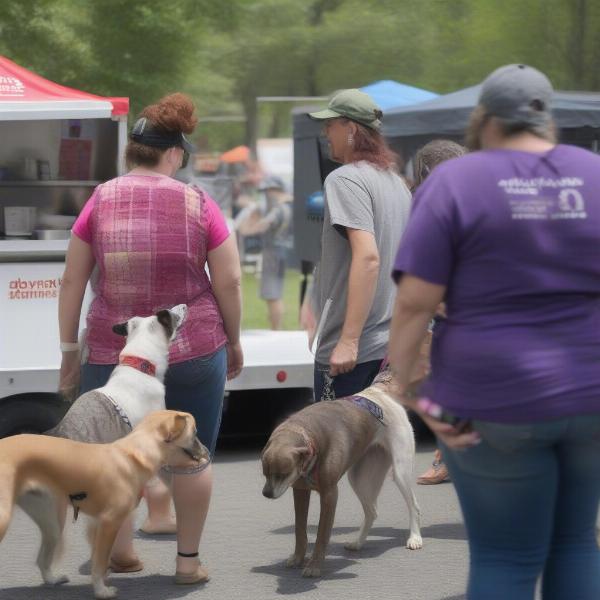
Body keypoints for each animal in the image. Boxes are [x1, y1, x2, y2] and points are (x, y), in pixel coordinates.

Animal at [0, 410, 207, 600]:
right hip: (5, 518)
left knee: (43, 558)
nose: (207, 452)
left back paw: (52, 579)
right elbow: (99, 563)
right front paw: (101, 591)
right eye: (195, 432)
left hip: (51, 523)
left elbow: (99, 561)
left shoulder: (97, 524)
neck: (131, 457)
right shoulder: (109, 522)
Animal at [262, 370, 422, 576]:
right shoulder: (300, 491)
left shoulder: (330, 495)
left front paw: (314, 566)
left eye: (282, 474)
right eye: (265, 473)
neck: (310, 436)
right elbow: (299, 529)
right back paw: (358, 543)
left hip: (400, 471)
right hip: (359, 478)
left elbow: (322, 534)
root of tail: (376, 391)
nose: (266, 494)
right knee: (372, 511)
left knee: (414, 506)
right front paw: (298, 558)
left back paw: (415, 538)